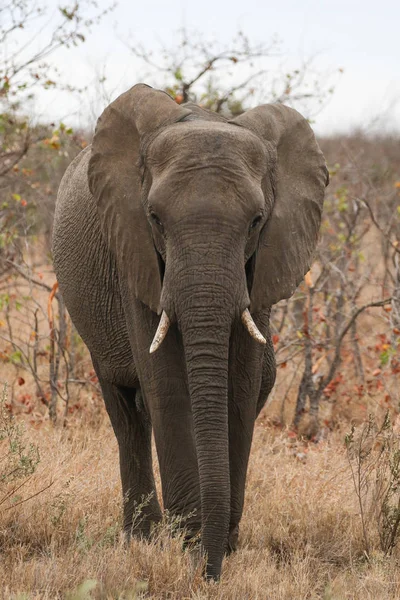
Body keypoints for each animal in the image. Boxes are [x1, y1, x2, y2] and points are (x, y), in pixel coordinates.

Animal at [52, 82, 328, 580]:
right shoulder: (133, 251)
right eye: (155, 218)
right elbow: (165, 382)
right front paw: (188, 542)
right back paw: (140, 539)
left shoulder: (261, 263)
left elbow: (241, 382)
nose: (208, 573)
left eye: (257, 220)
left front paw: (221, 547)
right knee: (126, 411)